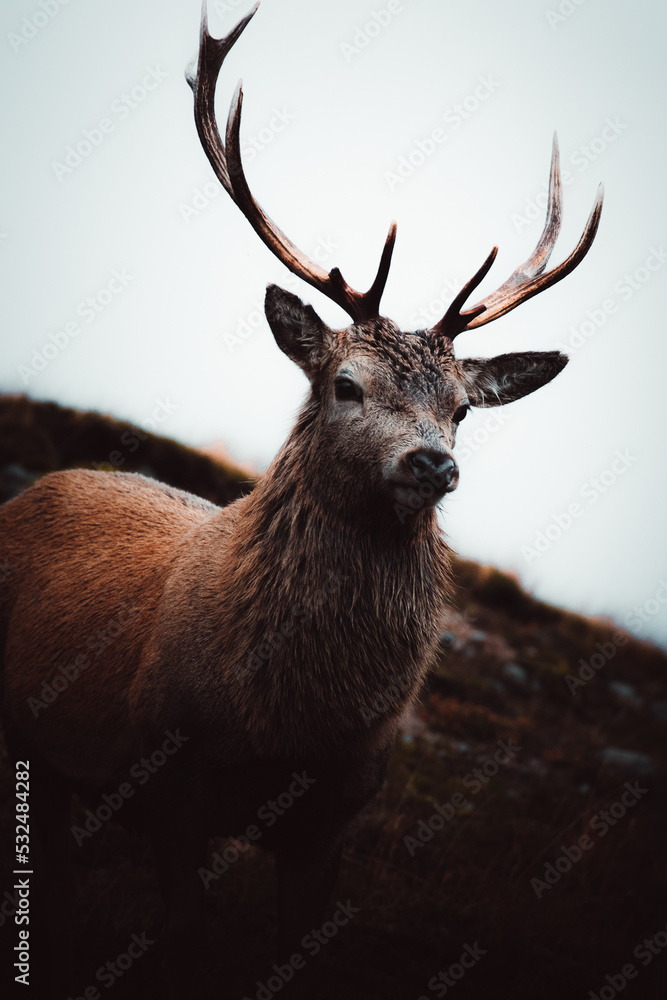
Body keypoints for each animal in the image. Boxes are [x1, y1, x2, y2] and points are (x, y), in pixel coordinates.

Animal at [0, 3, 603, 998]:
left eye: (462, 407)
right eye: (346, 385)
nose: (432, 465)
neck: (288, 726)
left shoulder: (337, 816)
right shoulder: (170, 780)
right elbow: (183, 938)